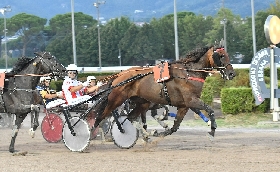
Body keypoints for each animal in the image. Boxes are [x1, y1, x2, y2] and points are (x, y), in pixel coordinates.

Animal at [94, 46, 236, 140]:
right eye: (221, 56)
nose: (231, 74)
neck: (189, 73)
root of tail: (119, 76)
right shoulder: (191, 100)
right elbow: (210, 110)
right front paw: (212, 130)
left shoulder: (184, 106)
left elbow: (174, 127)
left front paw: (159, 132)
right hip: (116, 99)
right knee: (101, 117)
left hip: (142, 103)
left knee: (130, 117)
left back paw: (143, 134)